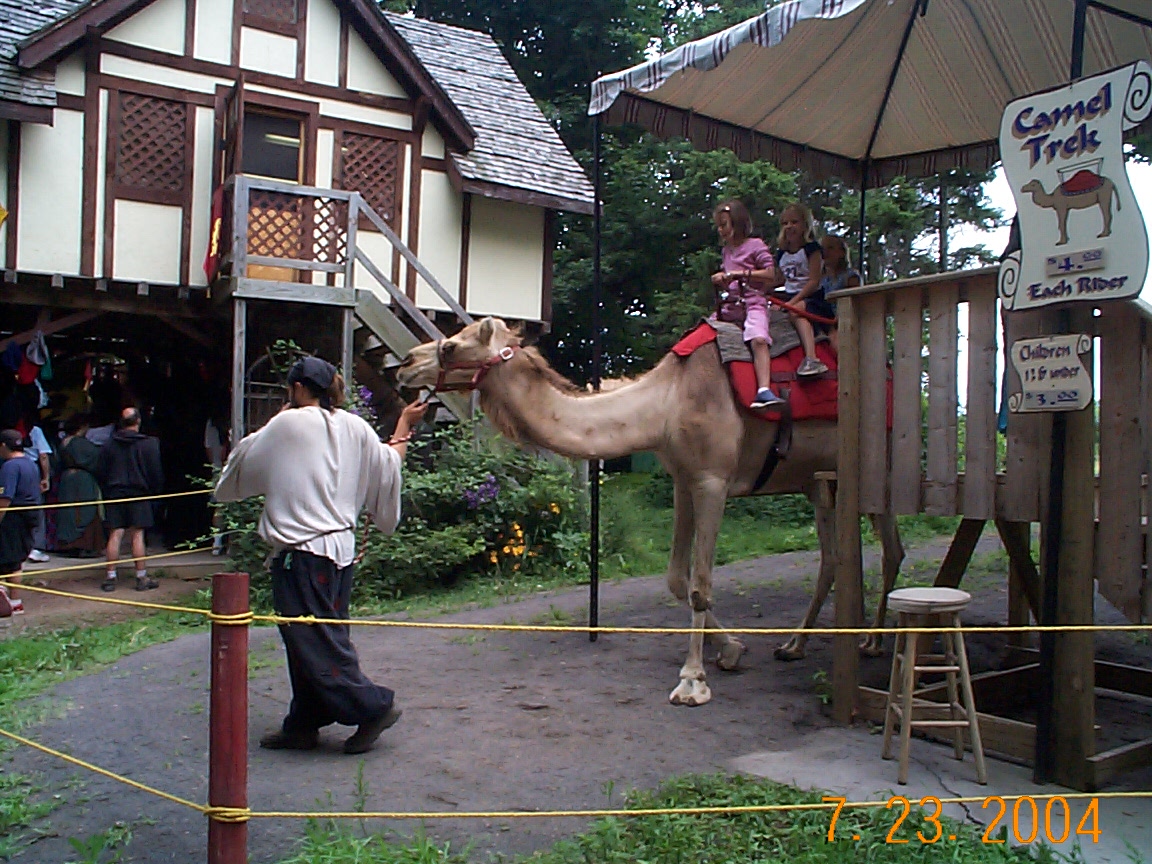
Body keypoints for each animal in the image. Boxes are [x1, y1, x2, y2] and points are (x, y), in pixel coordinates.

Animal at [396, 317, 904, 706]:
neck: (664, 404)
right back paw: (797, 645)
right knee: (835, 556)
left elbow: (700, 585)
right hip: (820, 480)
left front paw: (692, 681)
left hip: (876, 463)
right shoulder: (684, 479)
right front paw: (733, 650)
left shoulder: (713, 479)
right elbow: (677, 579)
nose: (405, 364)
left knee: (890, 549)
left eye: (451, 345)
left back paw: (872, 641)